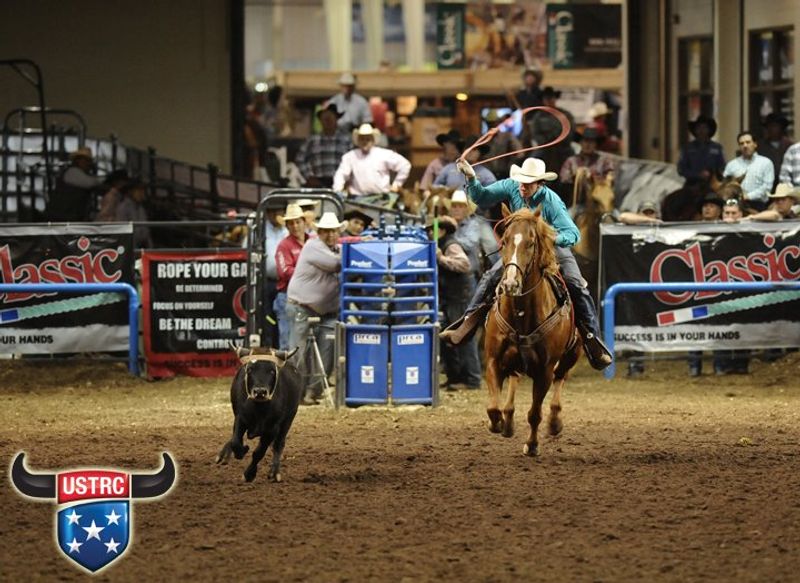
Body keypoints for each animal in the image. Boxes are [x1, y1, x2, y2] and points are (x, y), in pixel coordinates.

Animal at [482, 205, 580, 456]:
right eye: (505, 240)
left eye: (531, 242)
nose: (510, 284)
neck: (521, 313)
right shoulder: (493, 360)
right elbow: (492, 407)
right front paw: (498, 424)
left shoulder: (544, 370)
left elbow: (535, 413)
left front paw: (532, 445)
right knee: (515, 380)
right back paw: (508, 421)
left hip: (572, 354)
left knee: (560, 379)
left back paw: (554, 423)